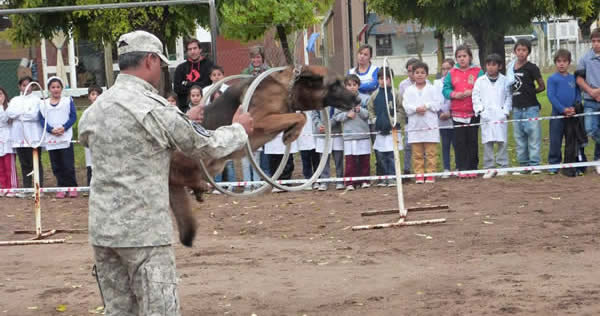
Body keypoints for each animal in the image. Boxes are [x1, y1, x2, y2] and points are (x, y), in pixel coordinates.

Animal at [166, 65, 358, 247]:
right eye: (335, 84)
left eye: (343, 82)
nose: (357, 99)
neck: (287, 89)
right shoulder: (259, 120)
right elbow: (299, 116)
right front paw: (291, 134)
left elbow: (301, 115)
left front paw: (291, 133)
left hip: (214, 165)